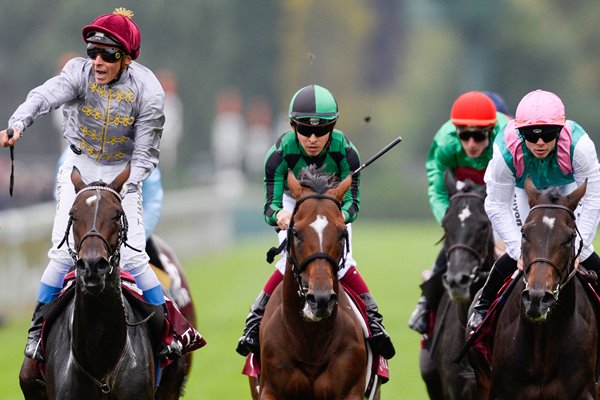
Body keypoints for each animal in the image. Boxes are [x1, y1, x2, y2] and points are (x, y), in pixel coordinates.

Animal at [255, 168, 378, 400]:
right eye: (296, 233)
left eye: (342, 233)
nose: (320, 299)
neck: (310, 342)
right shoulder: (270, 390)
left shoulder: (350, 390)